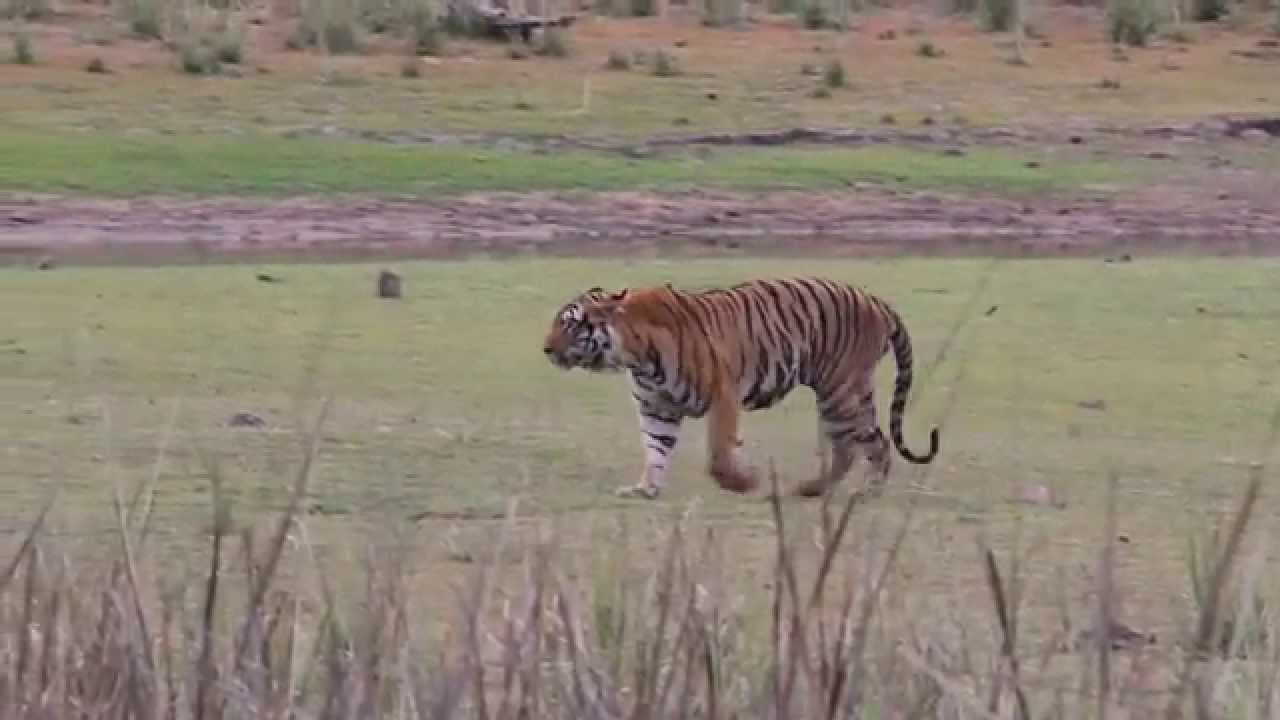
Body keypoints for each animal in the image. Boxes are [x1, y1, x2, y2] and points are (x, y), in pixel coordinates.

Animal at [541, 277, 939, 500]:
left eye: (570, 324)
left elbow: (719, 455)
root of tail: (876, 301)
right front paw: (645, 489)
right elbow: (655, 450)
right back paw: (832, 489)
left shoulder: (723, 395)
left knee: (861, 444)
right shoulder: (657, 407)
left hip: (839, 390)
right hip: (849, 394)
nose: (545, 348)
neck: (633, 354)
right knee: (862, 444)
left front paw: (746, 482)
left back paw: (845, 491)